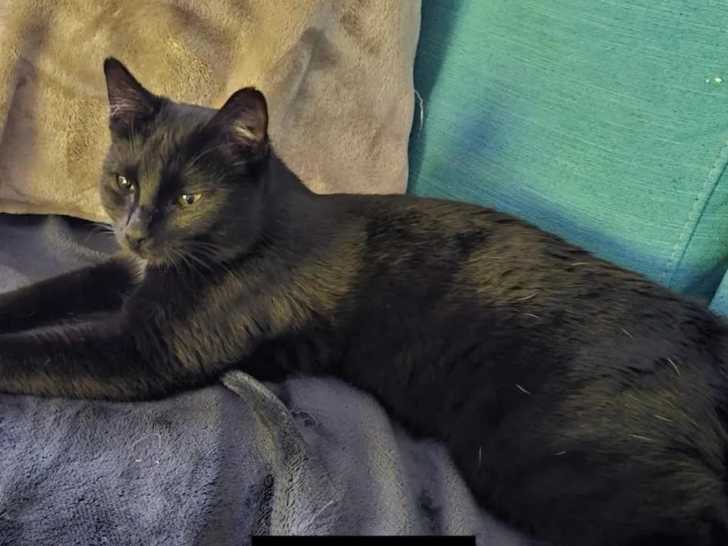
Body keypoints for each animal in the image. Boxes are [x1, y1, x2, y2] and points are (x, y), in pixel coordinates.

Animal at [0, 57, 727, 546]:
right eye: (124, 181)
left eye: (189, 199)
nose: (137, 230)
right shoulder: (123, 277)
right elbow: (49, 292)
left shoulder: (144, 350)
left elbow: (38, 353)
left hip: (559, 465)